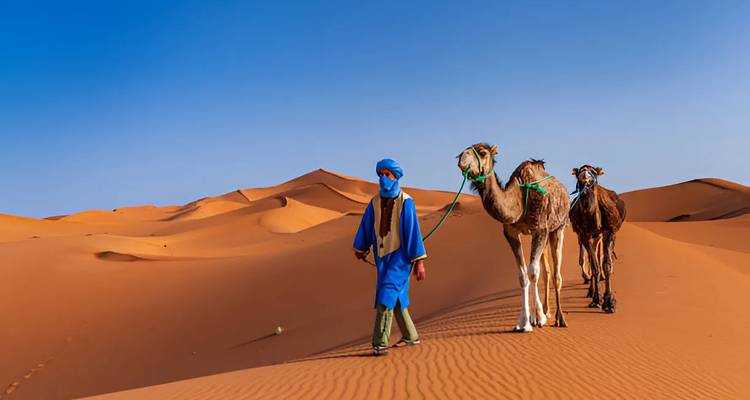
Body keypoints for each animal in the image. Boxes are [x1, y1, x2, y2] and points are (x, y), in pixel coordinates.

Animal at [457, 143, 570, 331]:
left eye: (482, 152)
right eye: (461, 152)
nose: (461, 159)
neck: (519, 199)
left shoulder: (540, 229)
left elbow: (533, 273)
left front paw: (538, 318)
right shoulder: (511, 232)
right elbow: (523, 275)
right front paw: (524, 322)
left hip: (558, 228)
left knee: (556, 275)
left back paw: (559, 319)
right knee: (546, 272)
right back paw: (544, 312)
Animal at [569, 165, 626, 313]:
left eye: (593, 172)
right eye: (578, 172)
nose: (584, 176)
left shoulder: (609, 231)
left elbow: (606, 264)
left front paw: (609, 302)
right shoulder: (584, 234)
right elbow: (595, 266)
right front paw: (596, 300)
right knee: (591, 259)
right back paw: (591, 291)